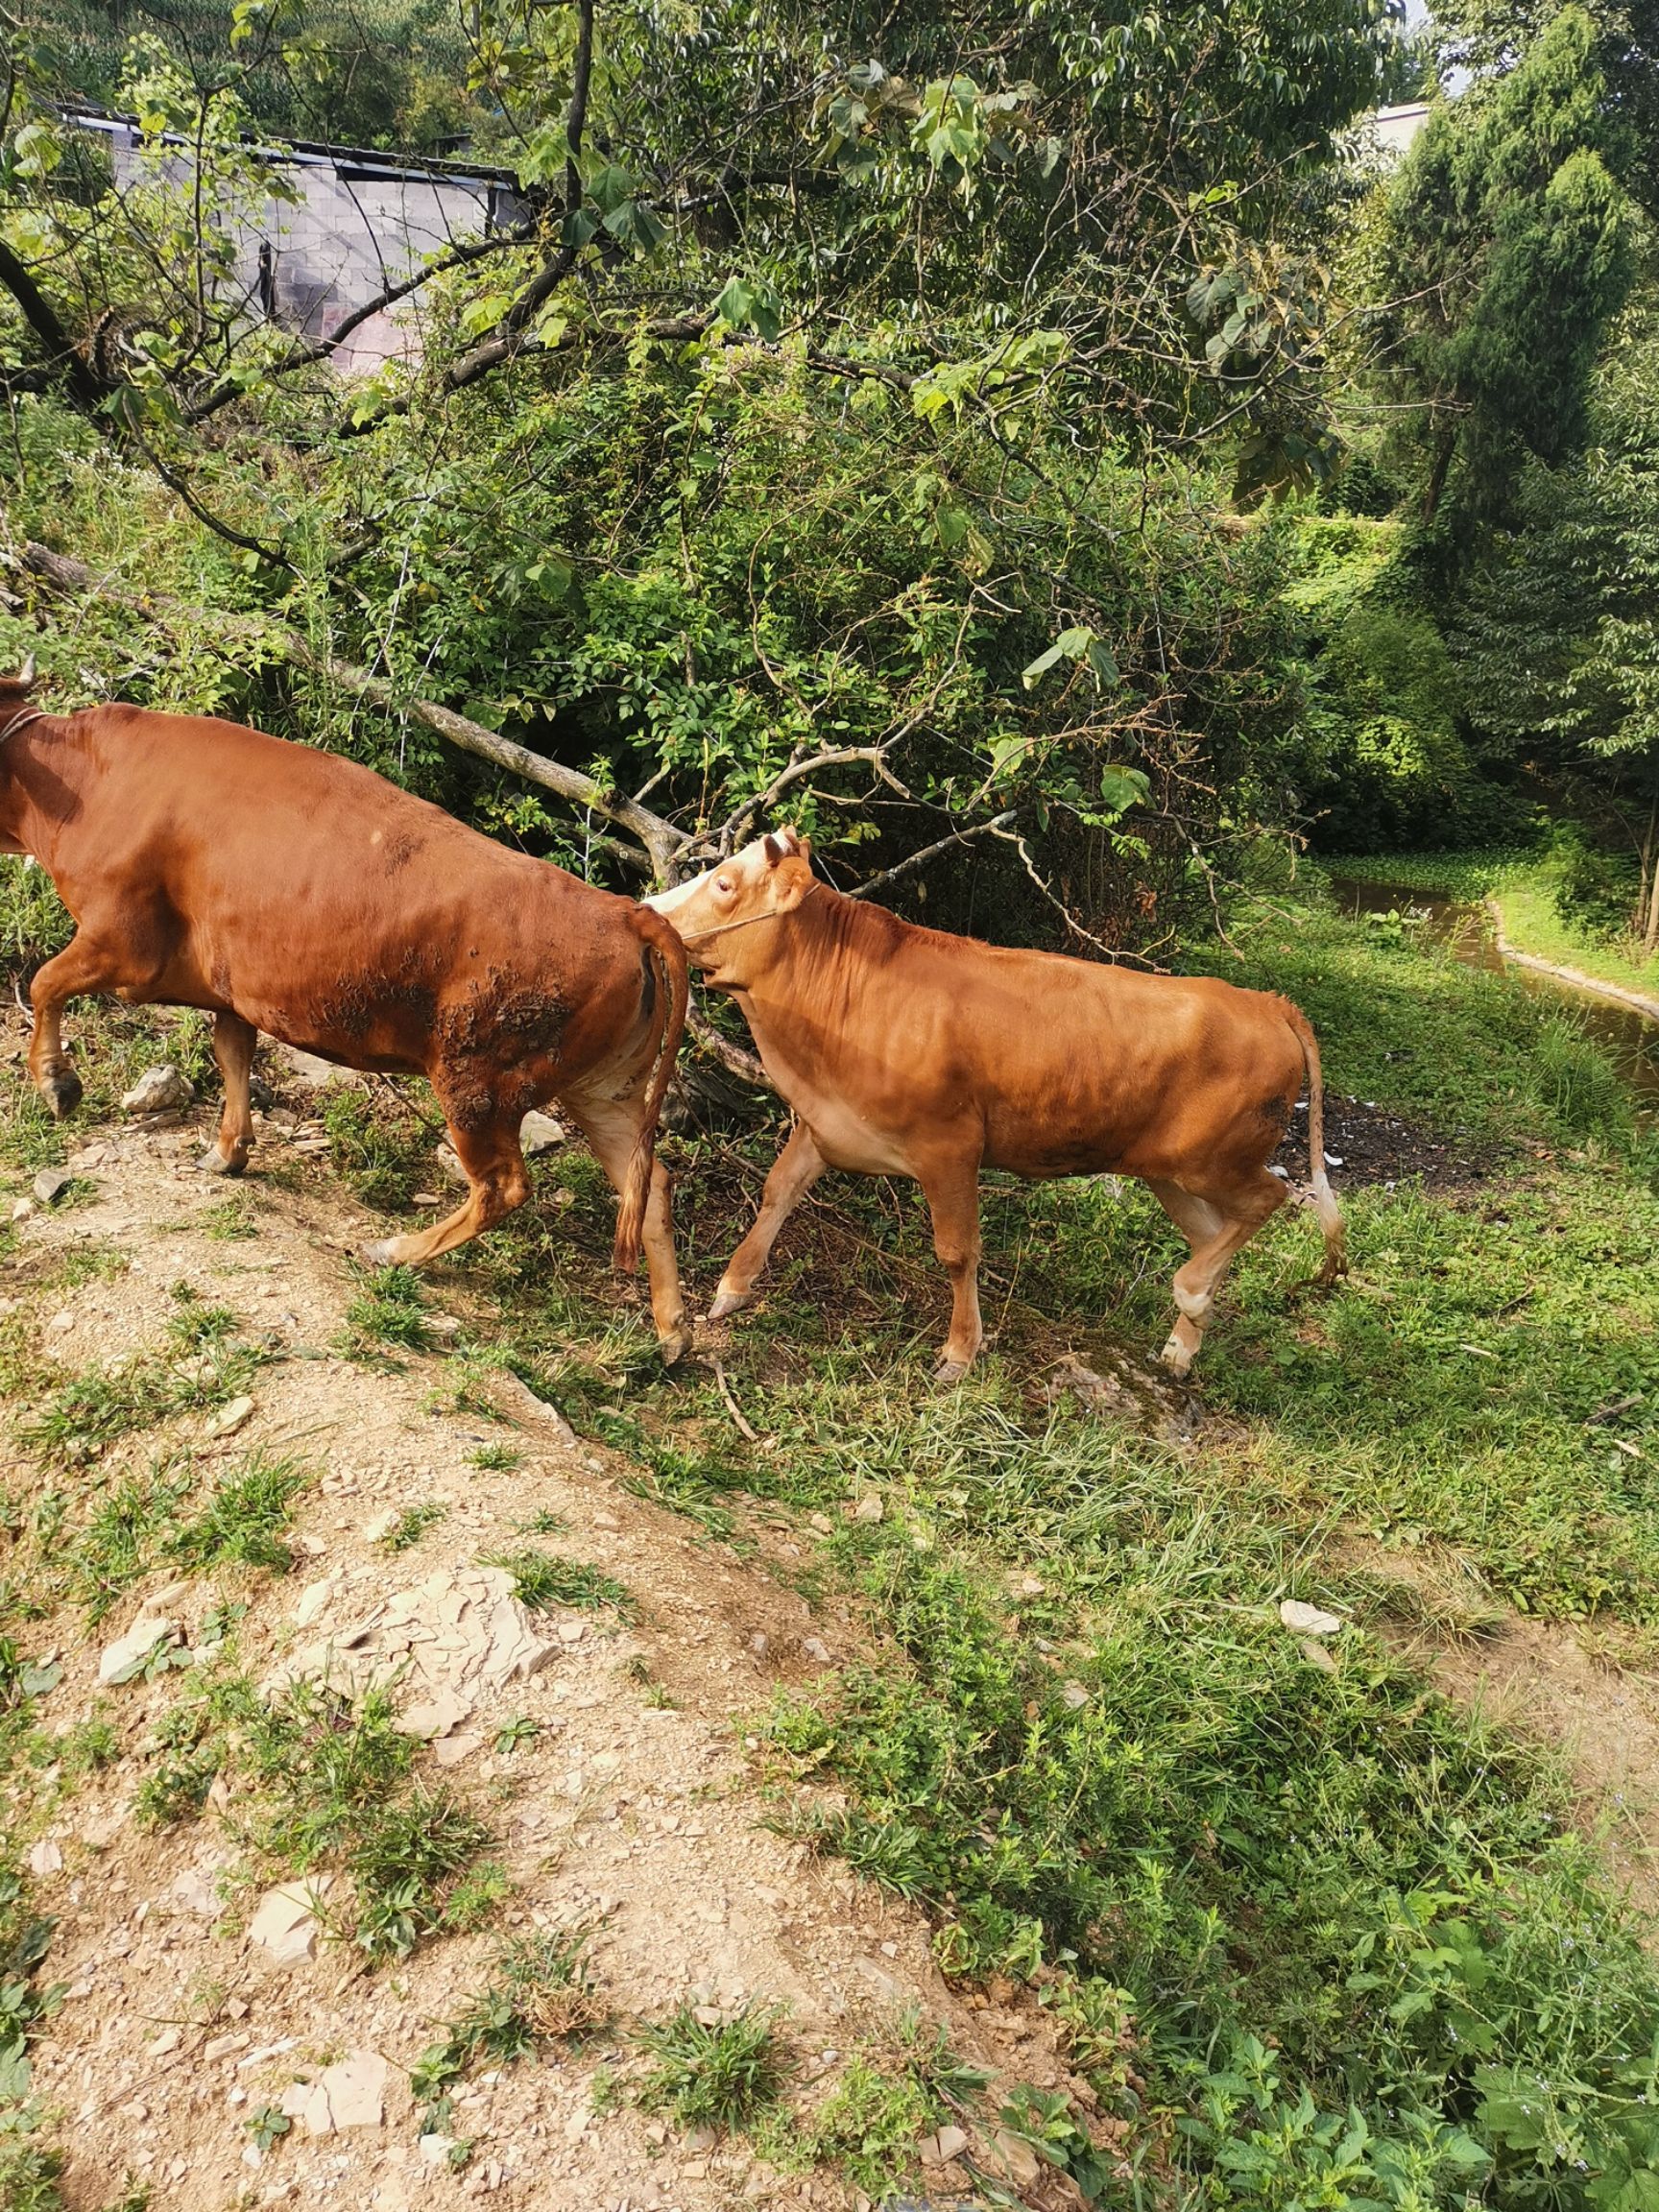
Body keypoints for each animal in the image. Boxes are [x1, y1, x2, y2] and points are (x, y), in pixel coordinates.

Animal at [0, 654, 689, 1354]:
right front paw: (229, 1151)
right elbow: (232, 1052)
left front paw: (57, 1083)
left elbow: (45, 983)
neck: (84, 779)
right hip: (602, 1090)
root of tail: (622, 911)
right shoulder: (231, 987)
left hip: (477, 1082)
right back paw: (672, 1331)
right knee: (650, 1185)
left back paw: (397, 1249)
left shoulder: (122, 943)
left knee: (504, 1187)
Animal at [650, 831, 1354, 1380]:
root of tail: (1264, 1002)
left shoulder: (951, 1147)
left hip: (1214, 1162)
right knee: (1213, 1234)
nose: (646, 910)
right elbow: (776, 1193)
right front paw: (729, 1290)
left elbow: (957, 1252)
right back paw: (1183, 1343)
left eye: (724, 883)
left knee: (1268, 1199)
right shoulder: (824, 1124)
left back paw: (1194, 1294)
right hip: (1169, 1172)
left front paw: (961, 1351)